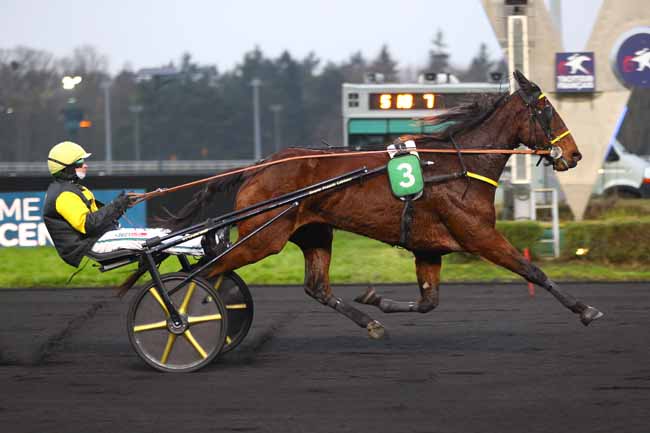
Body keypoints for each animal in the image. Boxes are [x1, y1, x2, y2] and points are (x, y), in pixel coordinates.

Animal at [162, 71, 604, 338]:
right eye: (548, 110)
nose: (574, 154)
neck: (460, 165)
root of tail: (258, 167)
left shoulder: (429, 246)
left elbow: (428, 302)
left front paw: (376, 299)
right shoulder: (479, 235)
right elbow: (534, 271)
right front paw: (585, 309)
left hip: (312, 232)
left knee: (315, 287)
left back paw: (369, 322)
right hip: (262, 237)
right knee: (206, 273)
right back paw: (181, 318)